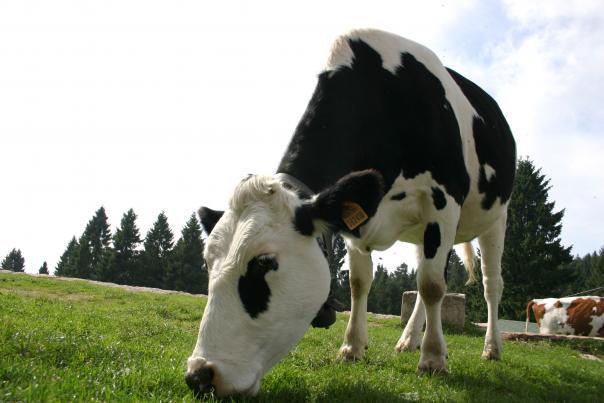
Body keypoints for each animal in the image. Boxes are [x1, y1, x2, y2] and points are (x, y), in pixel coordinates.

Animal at [185, 29, 516, 398]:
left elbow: (432, 287)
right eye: (207, 263)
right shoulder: (358, 224)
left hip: (496, 218)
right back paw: (407, 341)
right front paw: (352, 347)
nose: (199, 375)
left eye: (264, 263)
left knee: (488, 284)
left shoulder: (442, 201)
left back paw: (491, 348)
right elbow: (361, 283)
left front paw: (433, 360)